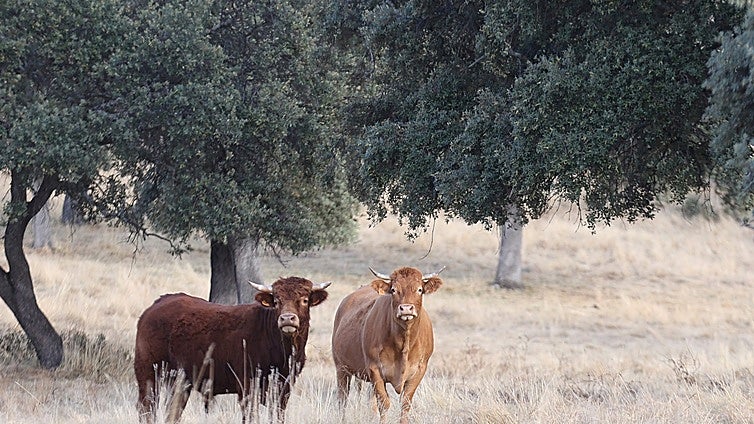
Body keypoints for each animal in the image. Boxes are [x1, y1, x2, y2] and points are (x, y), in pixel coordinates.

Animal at [134, 276, 330, 423]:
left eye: (304, 300)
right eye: (276, 300)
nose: (287, 318)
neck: (281, 352)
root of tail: (158, 304)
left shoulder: (284, 388)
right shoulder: (247, 386)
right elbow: (250, 417)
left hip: (178, 381)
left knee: (172, 412)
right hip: (148, 374)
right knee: (146, 409)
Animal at [331, 266, 444, 424]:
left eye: (420, 289)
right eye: (393, 290)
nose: (406, 309)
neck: (404, 343)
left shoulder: (419, 370)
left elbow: (405, 403)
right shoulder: (375, 370)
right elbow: (383, 403)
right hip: (341, 368)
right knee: (343, 398)